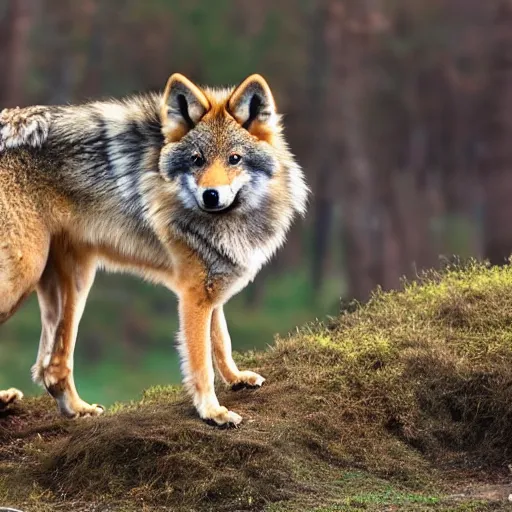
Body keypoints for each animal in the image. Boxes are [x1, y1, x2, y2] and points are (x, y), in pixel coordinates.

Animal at [0, 74, 308, 426]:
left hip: (77, 280)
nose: (211, 195)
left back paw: (77, 409)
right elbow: (201, 362)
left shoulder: (209, 284)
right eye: (197, 160)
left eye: (234, 158)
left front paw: (236, 378)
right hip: (25, 273)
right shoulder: (192, 294)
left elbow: (222, 340)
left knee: (51, 368)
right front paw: (212, 412)